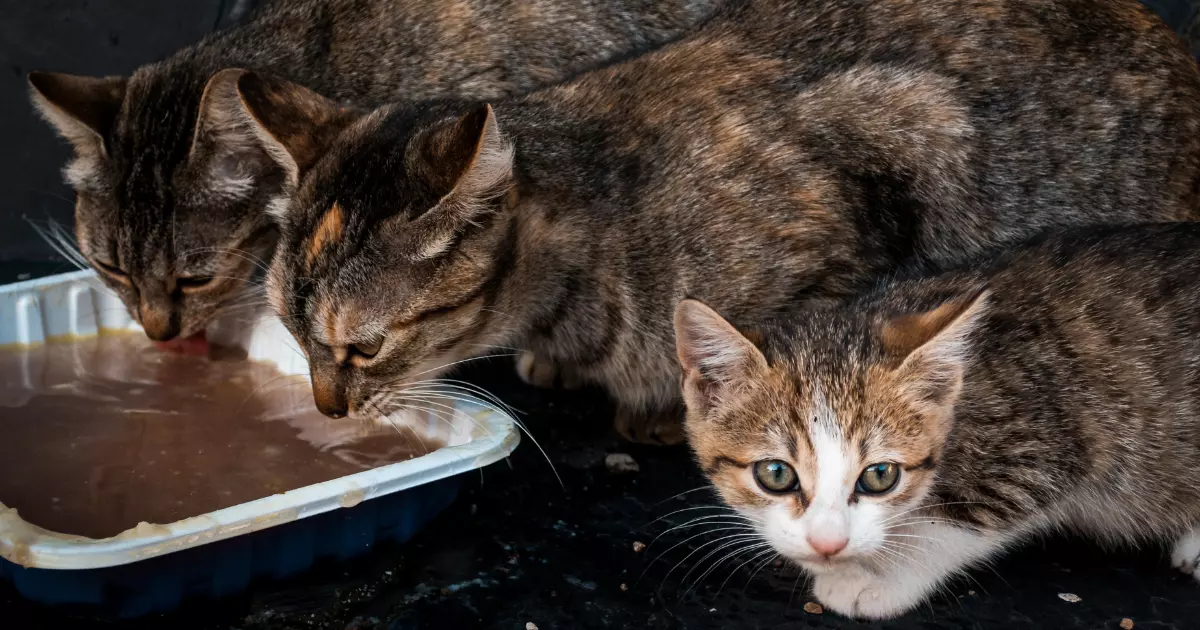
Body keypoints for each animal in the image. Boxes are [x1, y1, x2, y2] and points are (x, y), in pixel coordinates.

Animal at [672, 222, 1200, 619]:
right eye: (776, 473)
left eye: (880, 476)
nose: (828, 544)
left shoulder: (1045, 435)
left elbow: (951, 528)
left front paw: (879, 576)